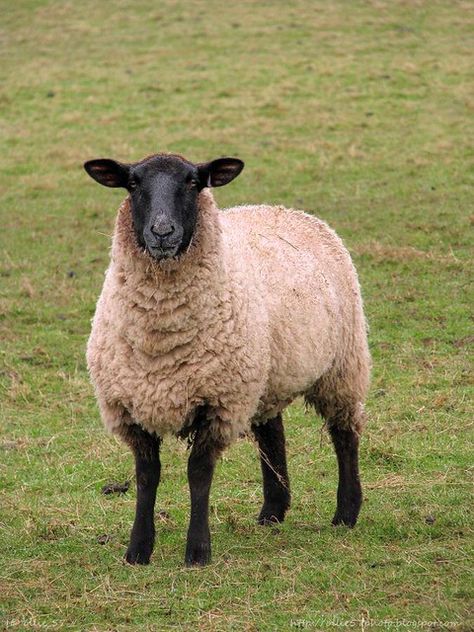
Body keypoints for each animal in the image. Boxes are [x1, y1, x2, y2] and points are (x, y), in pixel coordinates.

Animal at [83, 152, 370, 568]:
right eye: (133, 184)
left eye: (193, 182)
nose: (162, 232)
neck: (161, 337)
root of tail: (283, 209)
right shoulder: (130, 405)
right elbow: (147, 476)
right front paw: (138, 550)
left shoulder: (218, 403)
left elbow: (198, 474)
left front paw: (197, 551)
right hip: (265, 374)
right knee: (271, 432)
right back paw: (273, 510)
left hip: (342, 365)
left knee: (344, 433)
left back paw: (346, 512)